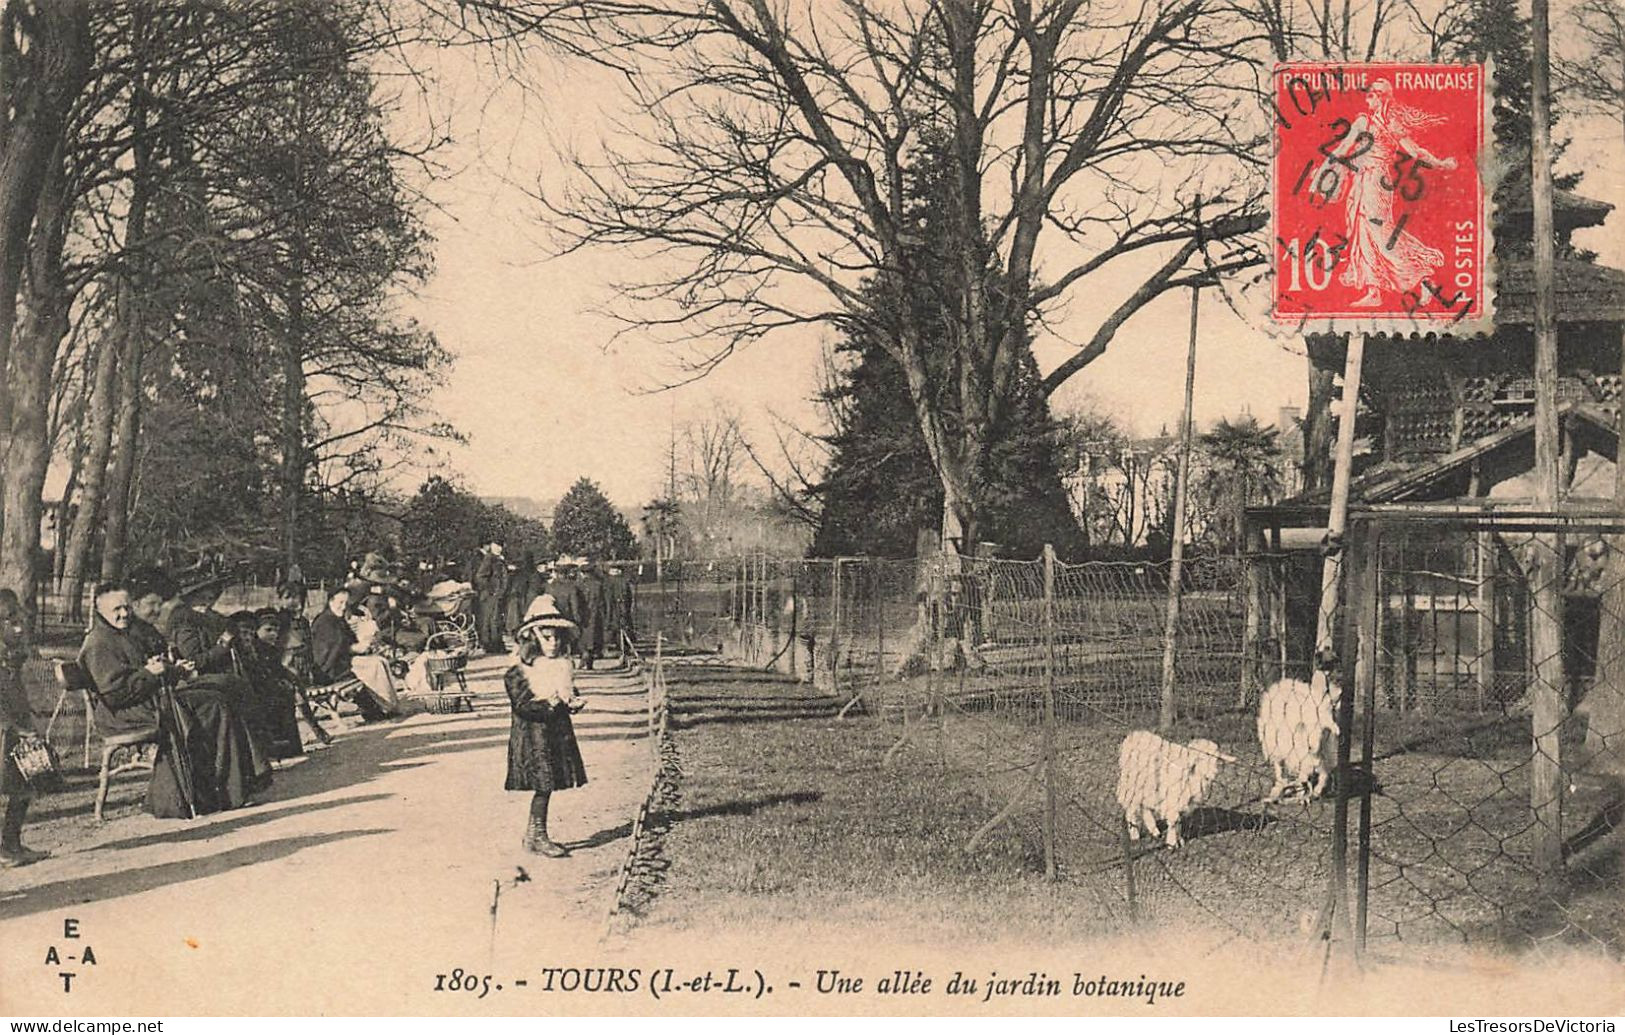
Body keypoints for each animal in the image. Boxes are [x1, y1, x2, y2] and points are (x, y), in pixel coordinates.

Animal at [1254, 672, 1345, 802]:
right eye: (1307, 724)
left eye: (1324, 729)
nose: (1312, 747)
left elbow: (1320, 775)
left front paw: (1312, 793)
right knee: (1279, 767)